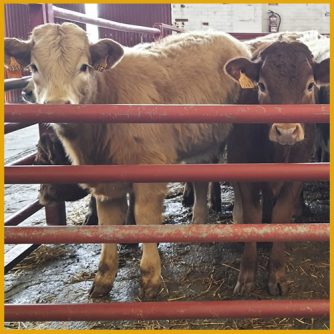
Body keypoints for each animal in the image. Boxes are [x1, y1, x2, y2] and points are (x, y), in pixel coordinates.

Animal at [224, 39, 328, 294]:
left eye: (310, 85)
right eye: (261, 85)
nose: (286, 131)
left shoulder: (295, 175)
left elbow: (281, 214)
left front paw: (277, 275)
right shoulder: (244, 171)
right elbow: (252, 216)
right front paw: (246, 276)